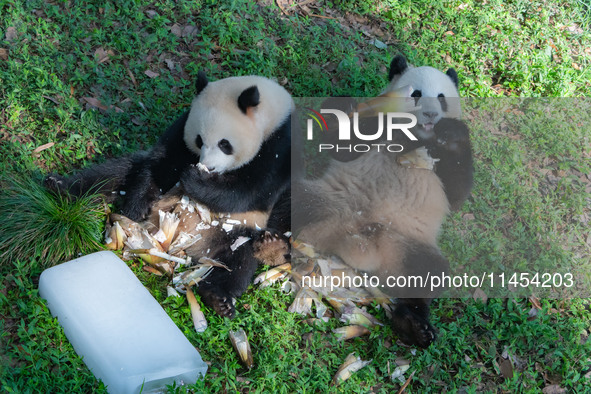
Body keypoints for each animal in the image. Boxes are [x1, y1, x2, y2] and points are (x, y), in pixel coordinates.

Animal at [45, 70, 294, 318]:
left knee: (238, 261)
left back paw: (221, 296)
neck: (271, 113)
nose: (208, 166)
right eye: (199, 140)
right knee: (114, 174)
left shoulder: (280, 146)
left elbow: (251, 189)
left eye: (225, 144)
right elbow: (163, 162)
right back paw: (59, 187)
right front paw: (135, 208)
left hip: (236, 230)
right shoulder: (183, 126)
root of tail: (186, 242)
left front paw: (195, 179)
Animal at [292, 56, 476, 348]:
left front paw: (451, 132)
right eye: (415, 94)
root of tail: (356, 244)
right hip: (329, 200)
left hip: (404, 241)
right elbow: (342, 147)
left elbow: (457, 192)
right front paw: (344, 109)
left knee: (429, 273)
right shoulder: (378, 130)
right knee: (289, 199)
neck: (412, 139)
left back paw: (414, 325)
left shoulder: (438, 167)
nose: (431, 116)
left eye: (442, 98)